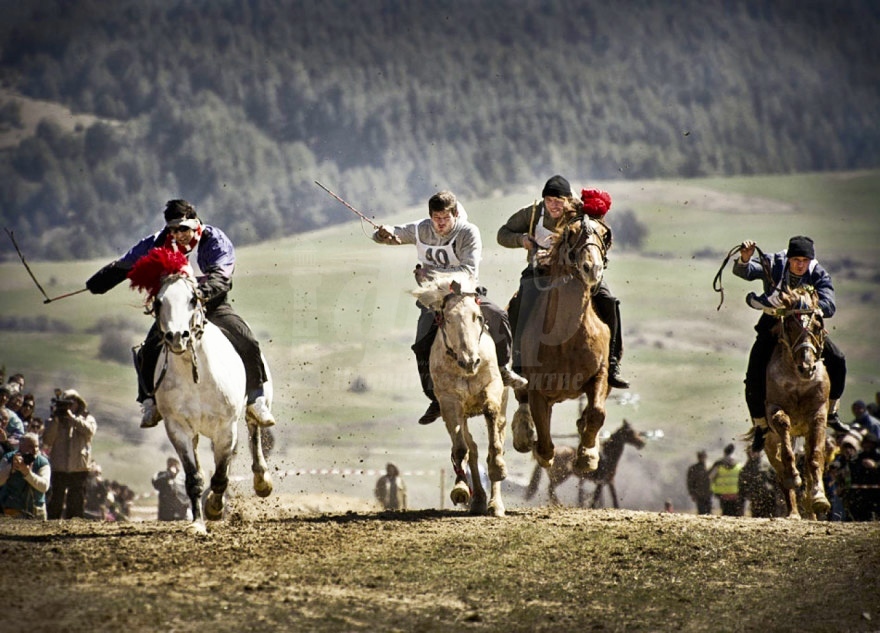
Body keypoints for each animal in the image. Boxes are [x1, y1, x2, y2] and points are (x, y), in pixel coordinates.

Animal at [133, 249, 272, 532]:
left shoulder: (225, 428)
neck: (196, 376)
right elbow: (194, 477)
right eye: (159, 302)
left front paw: (215, 508)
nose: (178, 336)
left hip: (248, 413)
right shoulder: (178, 429)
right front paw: (197, 523)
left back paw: (262, 479)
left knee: (254, 431)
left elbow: (219, 476)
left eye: (192, 298)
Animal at [412, 270, 508, 512]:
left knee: (497, 435)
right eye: (447, 319)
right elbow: (460, 449)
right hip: (460, 413)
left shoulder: (493, 387)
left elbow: (491, 415)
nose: (470, 361)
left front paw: (497, 468)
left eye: (478, 317)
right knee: (470, 448)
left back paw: (495, 504)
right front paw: (461, 489)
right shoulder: (449, 403)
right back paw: (478, 499)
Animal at [512, 215, 608, 472]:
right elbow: (545, 444)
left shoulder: (600, 374)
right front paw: (542, 452)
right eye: (570, 233)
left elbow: (597, 412)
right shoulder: (537, 389)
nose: (592, 268)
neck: (567, 337)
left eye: (604, 234)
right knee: (522, 400)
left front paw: (587, 455)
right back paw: (523, 434)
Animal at [760, 286, 828, 520]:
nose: (806, 367)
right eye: (789, 326)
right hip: (770, 443)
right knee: (780, 472)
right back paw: (793, 513)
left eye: (817, 326)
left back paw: (813, 509)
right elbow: (783, 427)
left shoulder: (818, 414)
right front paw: (792, 476)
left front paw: (819, 498)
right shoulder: (774, 409)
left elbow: (815, 457)